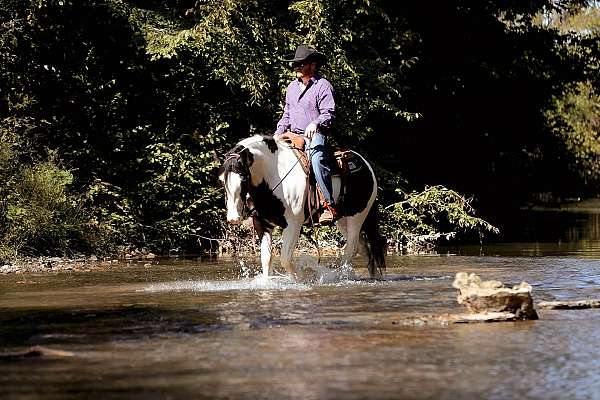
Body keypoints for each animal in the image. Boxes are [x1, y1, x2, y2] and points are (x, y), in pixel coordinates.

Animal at [218, 134, 386, 278]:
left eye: (243, 177)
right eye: (221, 180)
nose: (233, 218)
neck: (274, 175)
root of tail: (366, 164)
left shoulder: (293, 225)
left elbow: (285, 259)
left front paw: (300, 277)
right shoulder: (262, 224)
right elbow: (266, 259)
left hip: (356, 217)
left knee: (352, 247)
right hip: (341, 219)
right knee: (363, 246)